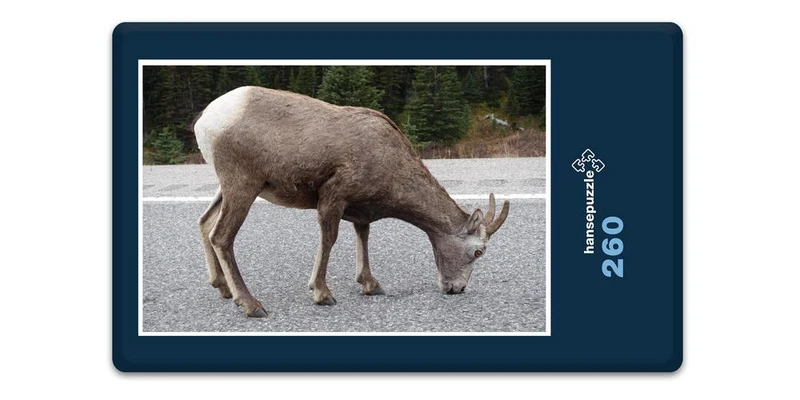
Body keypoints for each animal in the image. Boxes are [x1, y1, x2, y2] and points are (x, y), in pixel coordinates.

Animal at [193, 86, 510, 318]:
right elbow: (329, 240)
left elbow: (363, 237)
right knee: (221, 236)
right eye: (478, 251)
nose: (456, 289)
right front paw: (322, 294)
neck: (391, 162)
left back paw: (224, 290)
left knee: (205, 222)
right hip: (243, 184)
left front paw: (371, 285)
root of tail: (206, 120)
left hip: (227, 188)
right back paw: (251, 305)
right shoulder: (333, 196)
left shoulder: (360, 211)